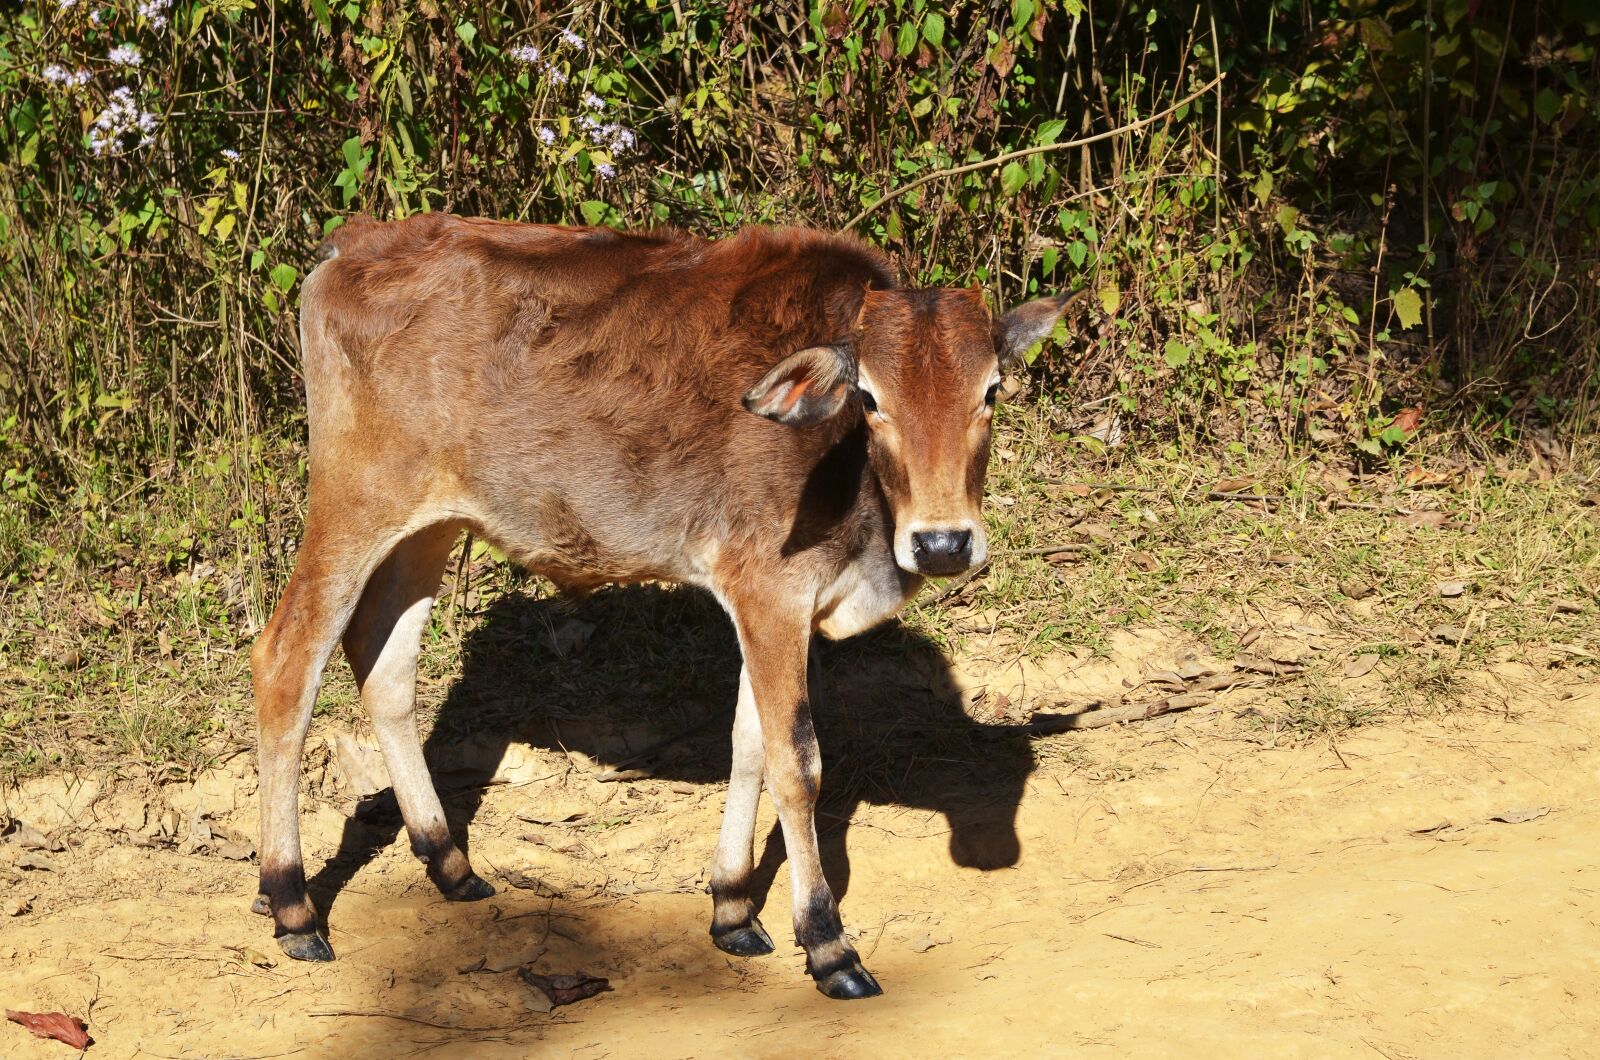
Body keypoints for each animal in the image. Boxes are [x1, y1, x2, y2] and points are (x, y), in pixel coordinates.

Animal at [250, 213, 1070, 999]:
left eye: (991, 390)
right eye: (871, 398)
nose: (943, 543)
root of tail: (353, 243)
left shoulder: (767, 610)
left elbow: (749, 743)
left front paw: (732, 907)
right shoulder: (771, 592)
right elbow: (797, 763)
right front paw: (826, 942)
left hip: (432, 525)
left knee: (383, 663)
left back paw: (449, 862)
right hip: (354, 506)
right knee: (286, 661)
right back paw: (291, 904)